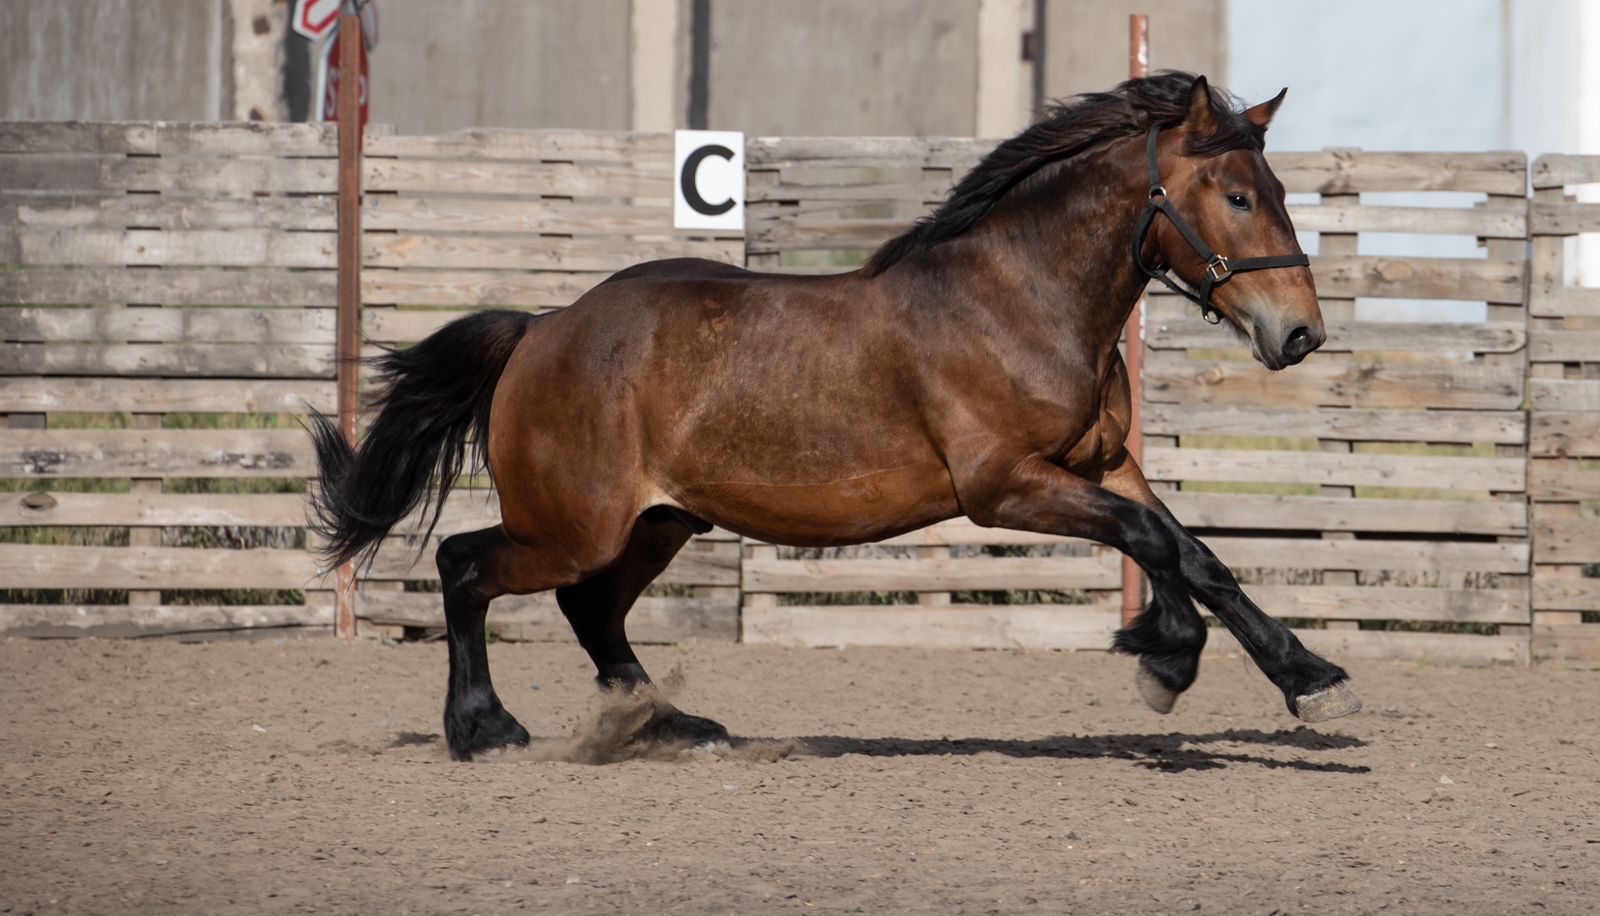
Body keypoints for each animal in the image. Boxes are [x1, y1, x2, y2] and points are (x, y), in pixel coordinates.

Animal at [308, 71, 1363, 762]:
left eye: (1278, 191)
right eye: (1237, 196)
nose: (1301, 333)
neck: (1021, 297)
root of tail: (541, 329)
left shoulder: (1102, 465)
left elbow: (1192, 552)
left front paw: (1300, 675)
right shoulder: (1003, 487)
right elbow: (1154, 541)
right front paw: (1167, 660)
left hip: (659, 522)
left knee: (589, 609)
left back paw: (668, 726)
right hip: (576, 524)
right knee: (467, 567)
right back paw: (484, 729)